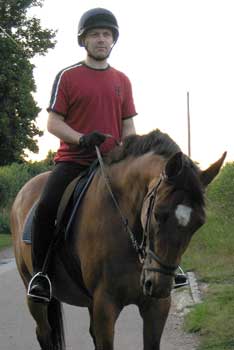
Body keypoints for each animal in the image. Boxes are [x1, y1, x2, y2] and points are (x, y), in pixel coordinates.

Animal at [10, 130, 225, 348]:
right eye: (157, 214)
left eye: (199, 223)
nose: (160, 285)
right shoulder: (105, 306)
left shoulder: (156, 307)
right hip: (34, 294)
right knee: (44, 332)